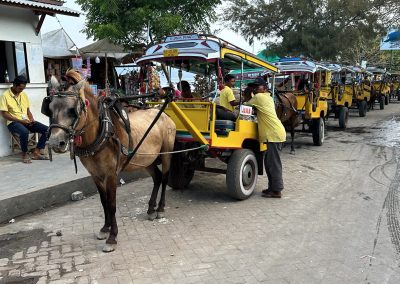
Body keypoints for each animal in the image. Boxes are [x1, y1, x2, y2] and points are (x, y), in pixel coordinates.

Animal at [43, 70, 176, 252]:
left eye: (72, 110)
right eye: (49, 109)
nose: (55, 143)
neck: (101, 133)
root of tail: (163, 114)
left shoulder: (111, 174)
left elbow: (112, 204)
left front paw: (112, 238)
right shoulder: (96, 175)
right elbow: (104, 202)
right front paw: (105, 229)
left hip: (166, 153)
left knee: (164, 178)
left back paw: (161, 208)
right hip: (146, 160)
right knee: (156, 178)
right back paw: (150, 208)